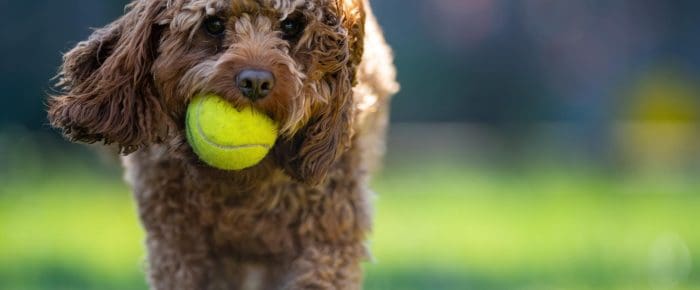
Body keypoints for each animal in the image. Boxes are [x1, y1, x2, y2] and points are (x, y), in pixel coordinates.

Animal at [47, 0, 400, 288]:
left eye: (291, 25)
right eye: (213, 24)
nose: (256, 82)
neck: (242, 186)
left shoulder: (326, 238)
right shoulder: (179, 246)